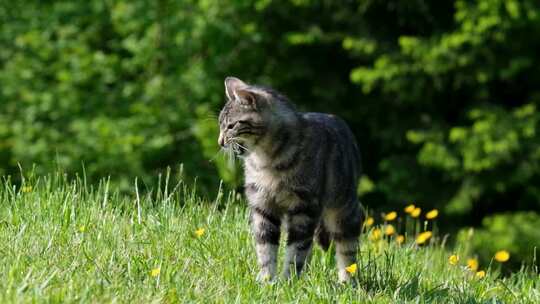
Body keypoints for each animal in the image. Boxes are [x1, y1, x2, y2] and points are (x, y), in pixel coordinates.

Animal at [216, 76, 362, 282]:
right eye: (220, 125)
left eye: (231, 126)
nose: (220, 142)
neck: (265, 159)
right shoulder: (262, 206)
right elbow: (265, 247)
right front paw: (267, 280)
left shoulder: (304, 209)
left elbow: (296, 250)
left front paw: (289, 281)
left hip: (344, 210)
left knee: (346, 248)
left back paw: (347, 281)